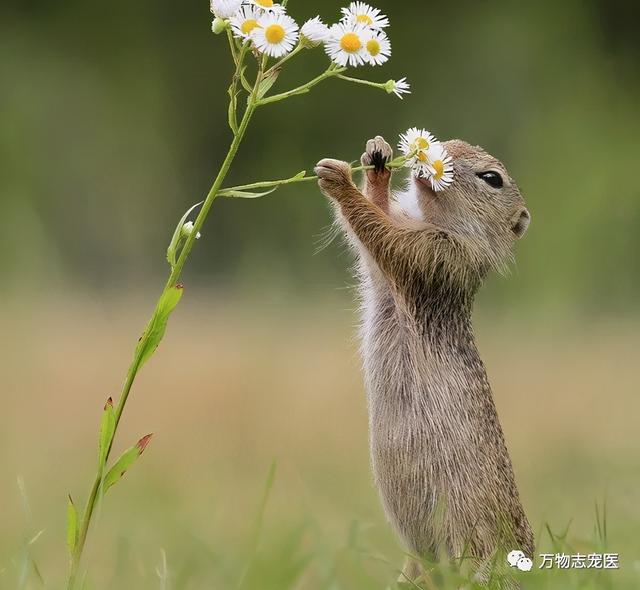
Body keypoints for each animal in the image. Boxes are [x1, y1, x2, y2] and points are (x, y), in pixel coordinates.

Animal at [316, 136, 536, 584]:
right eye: (456, 142)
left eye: (492, 178)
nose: (442, 147)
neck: (440, 223)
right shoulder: (395, 270)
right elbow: (375, 239)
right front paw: (377, 160)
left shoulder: (438, 257)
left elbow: (382, 235)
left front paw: (339, 178)